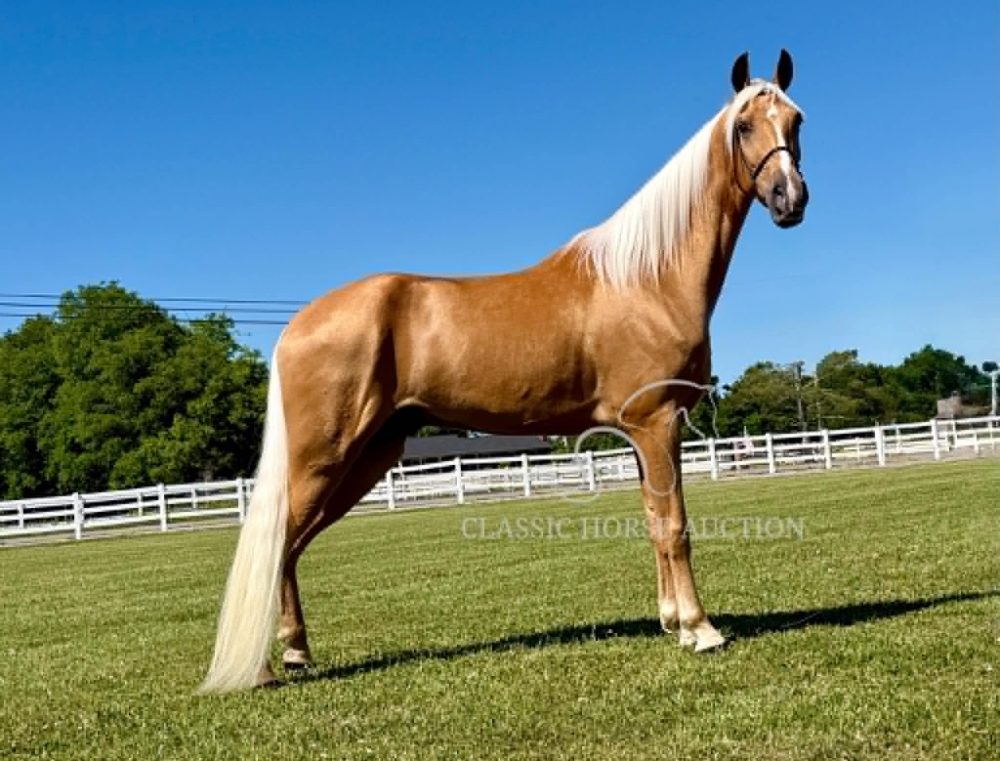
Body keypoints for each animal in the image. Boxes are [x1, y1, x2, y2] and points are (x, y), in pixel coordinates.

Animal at [200, 50, 808, 693]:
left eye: (796, 120)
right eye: (743, 125)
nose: (790, 198)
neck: (647, 277)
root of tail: (296, 326)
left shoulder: (640, 433)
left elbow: (652, 520)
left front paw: (672, 621)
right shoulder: (657, 422)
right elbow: (675, 527)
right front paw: (701, 629)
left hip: (368, 456)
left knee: (290, 547)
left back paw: (295, 651)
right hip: (326, 455)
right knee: (275, 545)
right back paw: (261, 667)